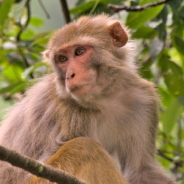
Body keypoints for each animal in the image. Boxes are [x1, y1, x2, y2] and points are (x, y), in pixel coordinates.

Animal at [0, 14, 176, 184]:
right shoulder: (70, 110)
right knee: (84, 147)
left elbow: (142, 171)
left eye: (79, 52)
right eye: (62, 59)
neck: (105, 98)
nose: (70, 75)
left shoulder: (143, 99)